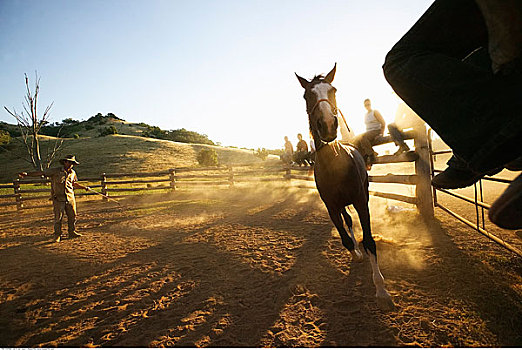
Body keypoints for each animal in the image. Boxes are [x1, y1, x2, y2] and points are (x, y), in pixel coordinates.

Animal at [294, 63, 392, 308]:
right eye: (307, 95)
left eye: (333, 90)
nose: (328, 125)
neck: (335, 163)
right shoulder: (331, 206)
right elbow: (346, 239)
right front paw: (356, 254)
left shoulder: (360, 201)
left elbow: (369, 241)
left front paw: (381, 289)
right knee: (347, 222)